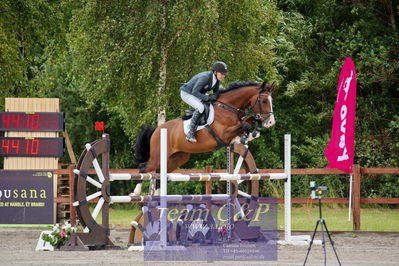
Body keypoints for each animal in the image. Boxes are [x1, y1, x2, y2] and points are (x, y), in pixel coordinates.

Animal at [133, 80, 276, 193]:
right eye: (264, 101)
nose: (271, 122)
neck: (227, 108)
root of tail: (157, 129)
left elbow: (249, 121)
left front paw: (252, 133)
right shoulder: (224, 134)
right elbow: (245, 125)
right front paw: (246, 136)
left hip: (178, 157)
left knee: (159, 172)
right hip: (158, 156)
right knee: (144, 167)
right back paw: (136, 192)